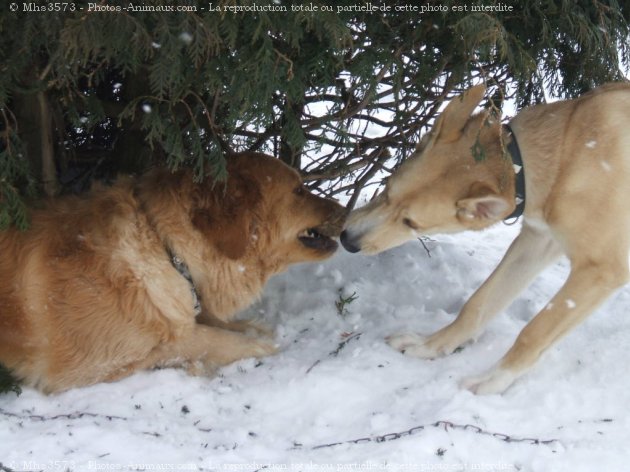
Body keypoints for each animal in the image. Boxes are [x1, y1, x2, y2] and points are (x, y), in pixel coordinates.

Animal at [0, 152, 346, 390]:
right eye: (298, 190)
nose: (346, 210)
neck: (164, 249)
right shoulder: (92, 364)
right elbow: (194, 339)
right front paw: (255, 346)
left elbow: (209, 325)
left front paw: (249, 328)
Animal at [340, 82, 630, 394]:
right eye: (387, 188)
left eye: (410, 222)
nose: (347, 240)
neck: (568, 159)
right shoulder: (538, 241)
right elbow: (477, 304)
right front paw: (430, 345)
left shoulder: (600, 271)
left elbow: (535, 331)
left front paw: (494, 379)